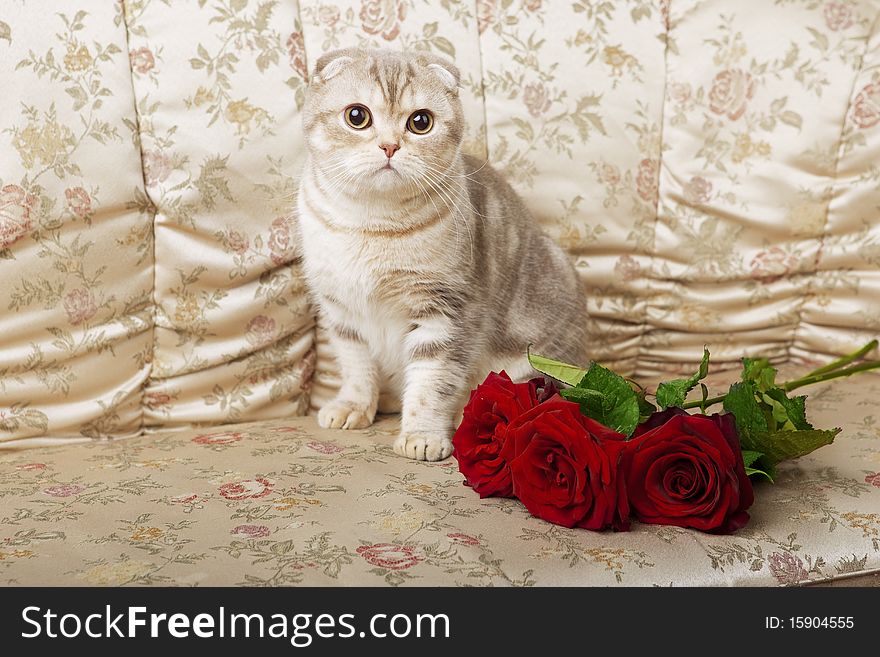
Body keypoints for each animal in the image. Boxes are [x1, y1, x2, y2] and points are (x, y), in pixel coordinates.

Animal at [294, 48, 584, 462]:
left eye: (420, 122)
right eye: (357, 116)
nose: (389, 146)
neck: (371, 226)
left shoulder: (445, 311)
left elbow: (431, 382)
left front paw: (422, 435)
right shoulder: (342, 312)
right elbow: (356, 367)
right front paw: (355, 406)